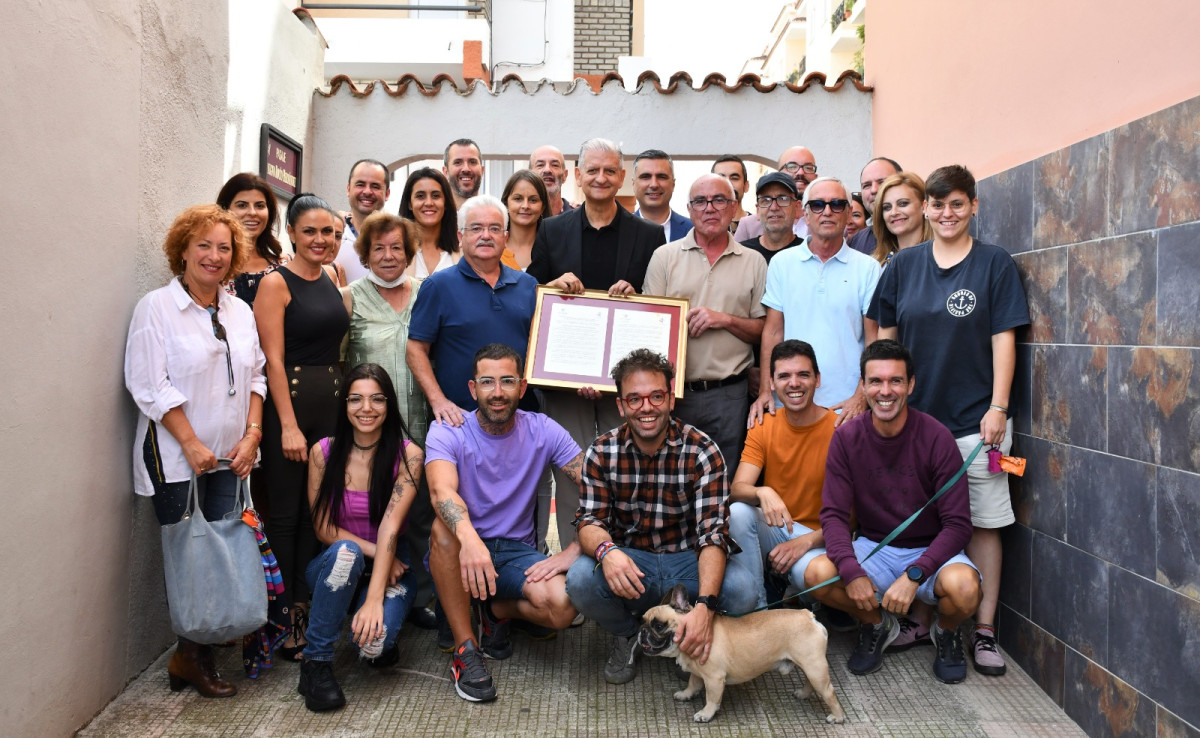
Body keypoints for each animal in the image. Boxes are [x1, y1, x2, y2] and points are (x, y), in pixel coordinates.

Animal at [638, 585, 844, 724]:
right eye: (643, 621)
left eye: (659, 626)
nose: (642, 631)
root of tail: (808, 616)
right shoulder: (698, 672)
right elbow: (693, 683)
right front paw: (686, 694)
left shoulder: (714, 678)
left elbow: (711, 698)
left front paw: (706, 714)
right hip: (809, 666)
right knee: (810, 682)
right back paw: (803, 694)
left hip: (814, 667)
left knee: (829, 692)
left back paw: (837, 717)